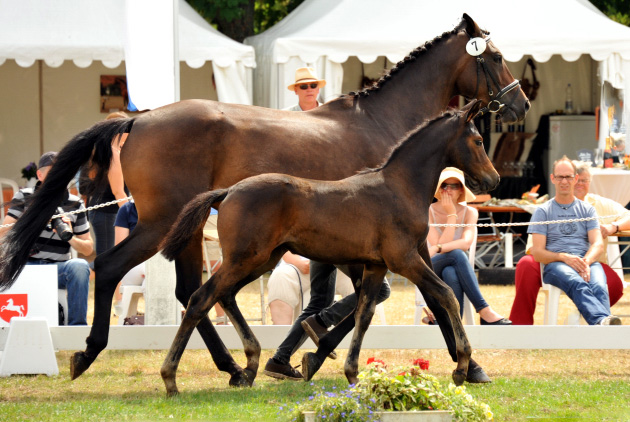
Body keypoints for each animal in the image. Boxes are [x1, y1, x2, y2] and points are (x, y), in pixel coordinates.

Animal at [162, 100, 498, 398]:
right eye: (479, 140)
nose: (493, 179)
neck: (400, 187)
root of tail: (228, 191)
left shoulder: (376, 265)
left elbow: (364, 313)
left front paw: (352, 374)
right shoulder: (404, 258)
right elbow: (446, 295)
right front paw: (462, 366)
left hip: (260, 260)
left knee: (226, 296)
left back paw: (249, 365)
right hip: (244, 259)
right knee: (200, 299)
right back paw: (171, 379)